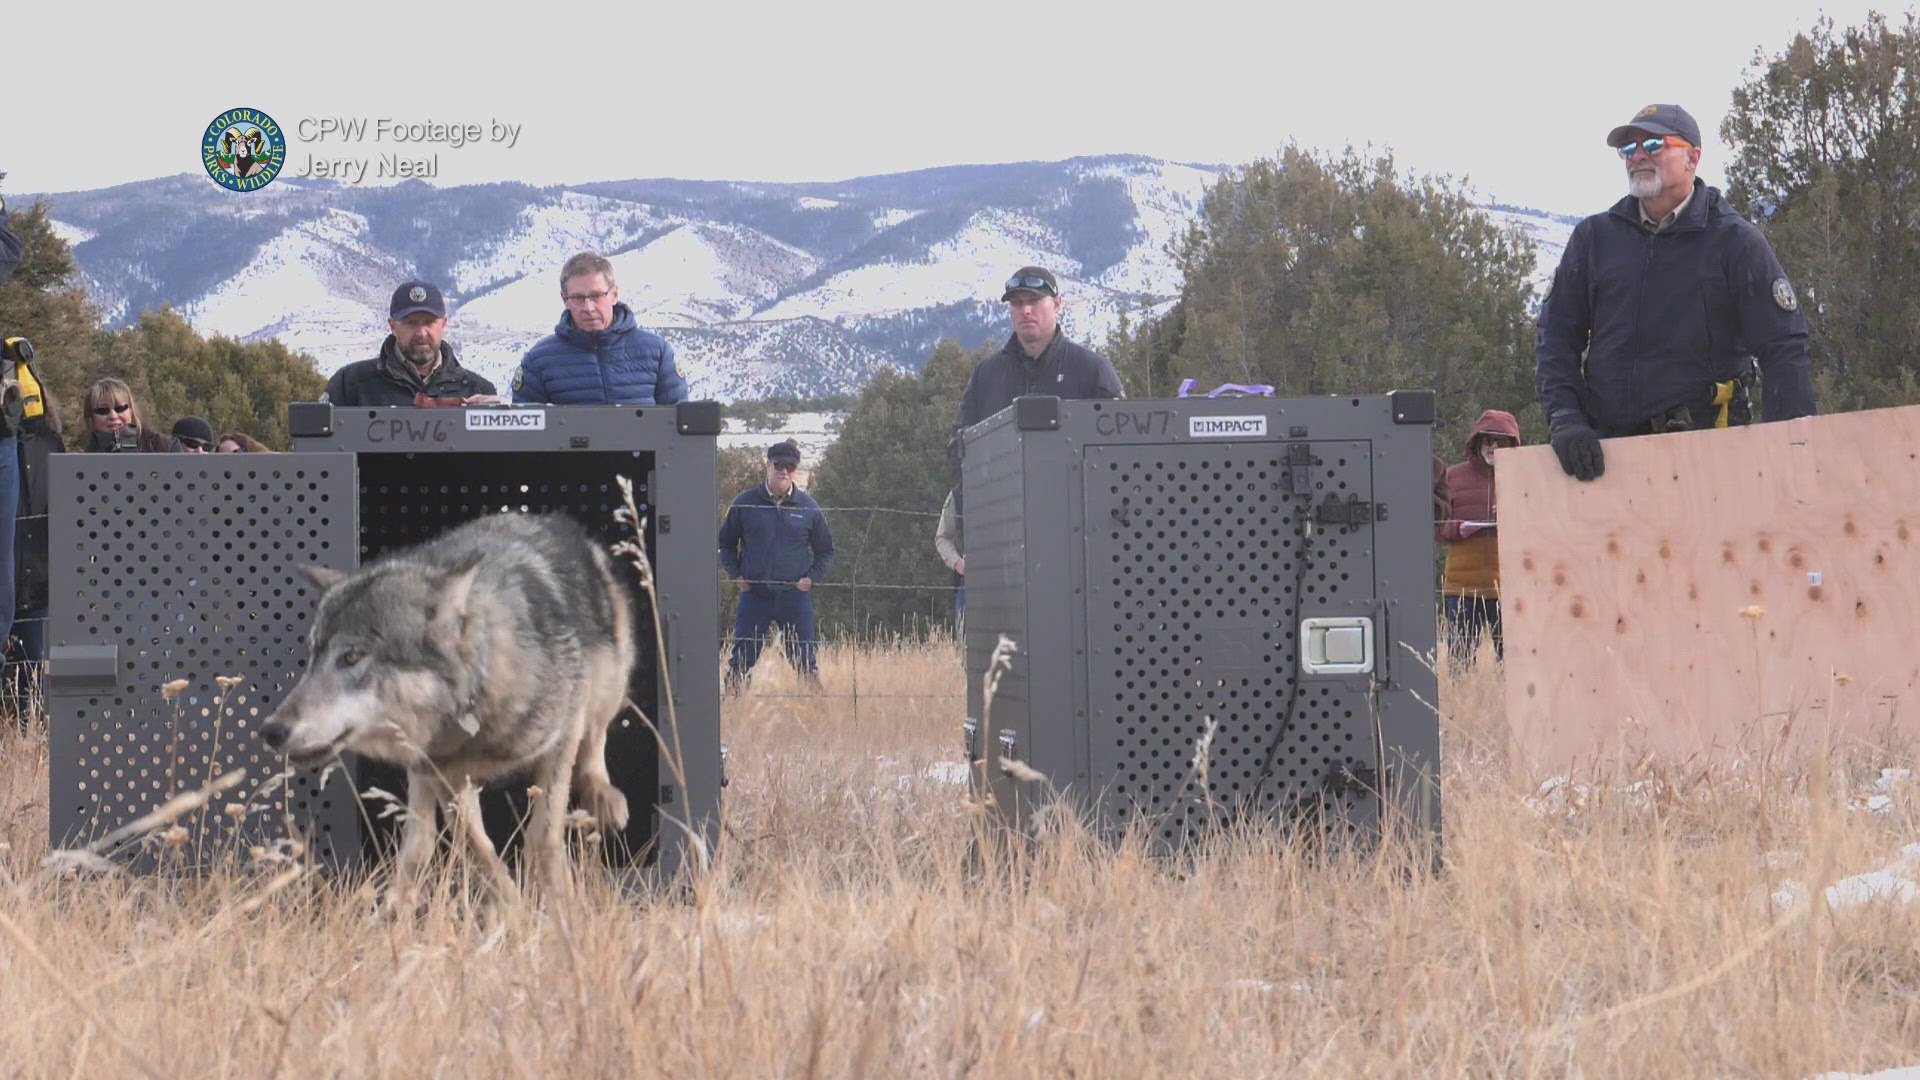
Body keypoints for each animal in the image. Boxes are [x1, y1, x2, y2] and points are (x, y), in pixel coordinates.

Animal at [259, 507, 633, 895]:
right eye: (312, 657)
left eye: (351, 657)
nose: (270, 730)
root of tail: (541, 517)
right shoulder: (444, 775)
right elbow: (477, 850)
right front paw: (513, 905)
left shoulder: (563, 732)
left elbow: (542, 836)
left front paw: (556, 899)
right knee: (419, 840)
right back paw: (398, 902)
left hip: (611, 681)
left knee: (597, 736)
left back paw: (605, 798)